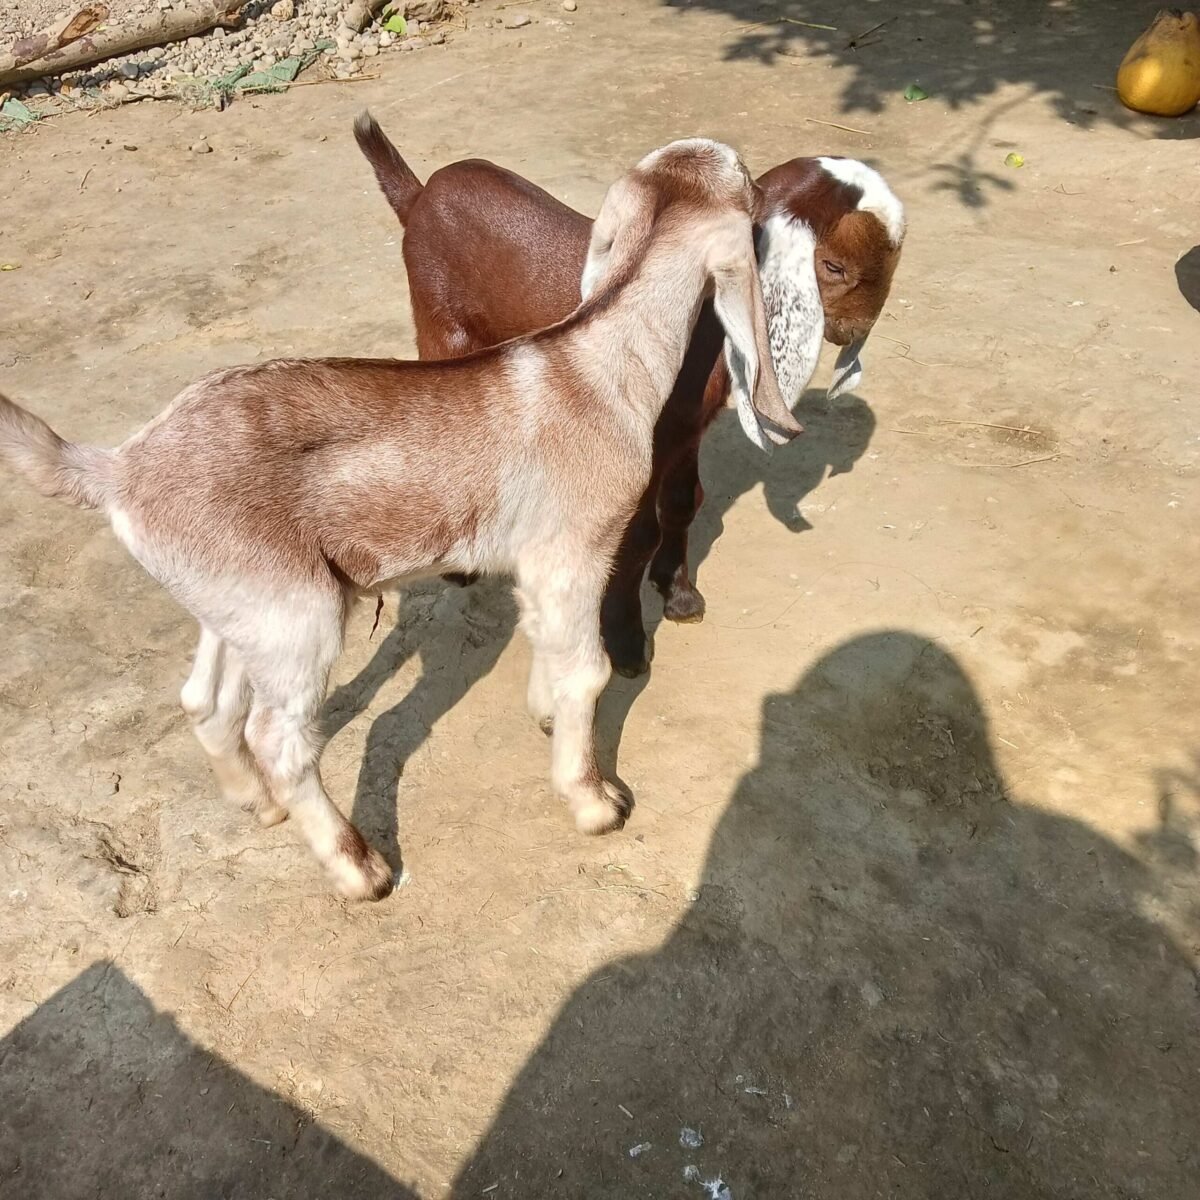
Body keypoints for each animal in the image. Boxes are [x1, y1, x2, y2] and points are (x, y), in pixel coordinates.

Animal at [0, 139, 799, 902]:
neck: (601, 365)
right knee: (278, 735)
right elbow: (588, 672)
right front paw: (593, 800)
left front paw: (544, 718)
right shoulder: (574, 551)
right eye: (749, 187)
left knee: (206, 701)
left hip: (237, 602)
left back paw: (261, 806)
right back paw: (358, 870)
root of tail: (119, 469)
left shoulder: (536, 564)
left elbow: (547, 644)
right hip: (298, 613)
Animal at [355, 114, 905, 676]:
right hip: (439, 323)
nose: (856, 329)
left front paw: (679, 595)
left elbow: (684, 503)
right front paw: (625, 642)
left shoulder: (685, 430)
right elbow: (636, 536)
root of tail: (419, 195)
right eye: (833, 267)